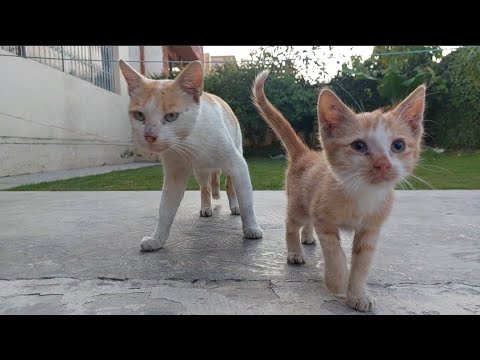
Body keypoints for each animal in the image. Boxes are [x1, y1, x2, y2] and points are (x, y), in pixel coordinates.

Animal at [119, 60, 262, 252]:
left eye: (171, 116)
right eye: (139, 115)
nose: (149, 136)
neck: (189, 143)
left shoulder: (238, 165)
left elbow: (247, 200)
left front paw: (251, 228)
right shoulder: (174, 174)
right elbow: (165, 208)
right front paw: (157, 239)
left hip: (234, 157)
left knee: (229, 186)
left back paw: (234, 206)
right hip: (201, 172)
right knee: (205, 188)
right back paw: (206, 207)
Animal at [253, 71, 426, 312]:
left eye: (398, 146)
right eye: (359, 146)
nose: (383, 164)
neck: (363, 194)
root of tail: (306, 154)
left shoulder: (371, 229)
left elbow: (362, 264)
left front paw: (358, 294)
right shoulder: (324, 221)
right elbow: (334, 253)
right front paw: (336, 281)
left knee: (306, 224)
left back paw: (307, 237)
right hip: (299, 206)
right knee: (291, 224)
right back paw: (295, 251)